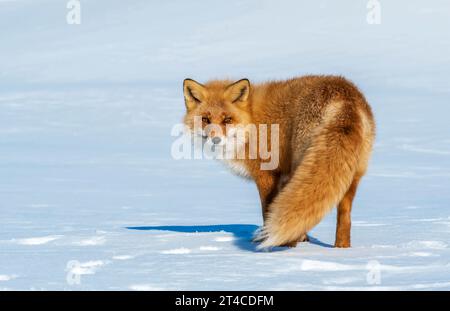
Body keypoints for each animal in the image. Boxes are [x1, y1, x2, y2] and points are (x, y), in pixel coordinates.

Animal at [181, 77, 374, 250]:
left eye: (227, 119)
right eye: (205, 119)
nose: (215, 139)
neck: (251, 121)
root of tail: (345, 98)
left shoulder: (266, 174)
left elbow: (268, 210)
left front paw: (266, 241)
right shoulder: (283, 177)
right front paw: (302, 238)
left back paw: (288, 244)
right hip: (350, 175)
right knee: (344, 216)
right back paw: (341, 249)